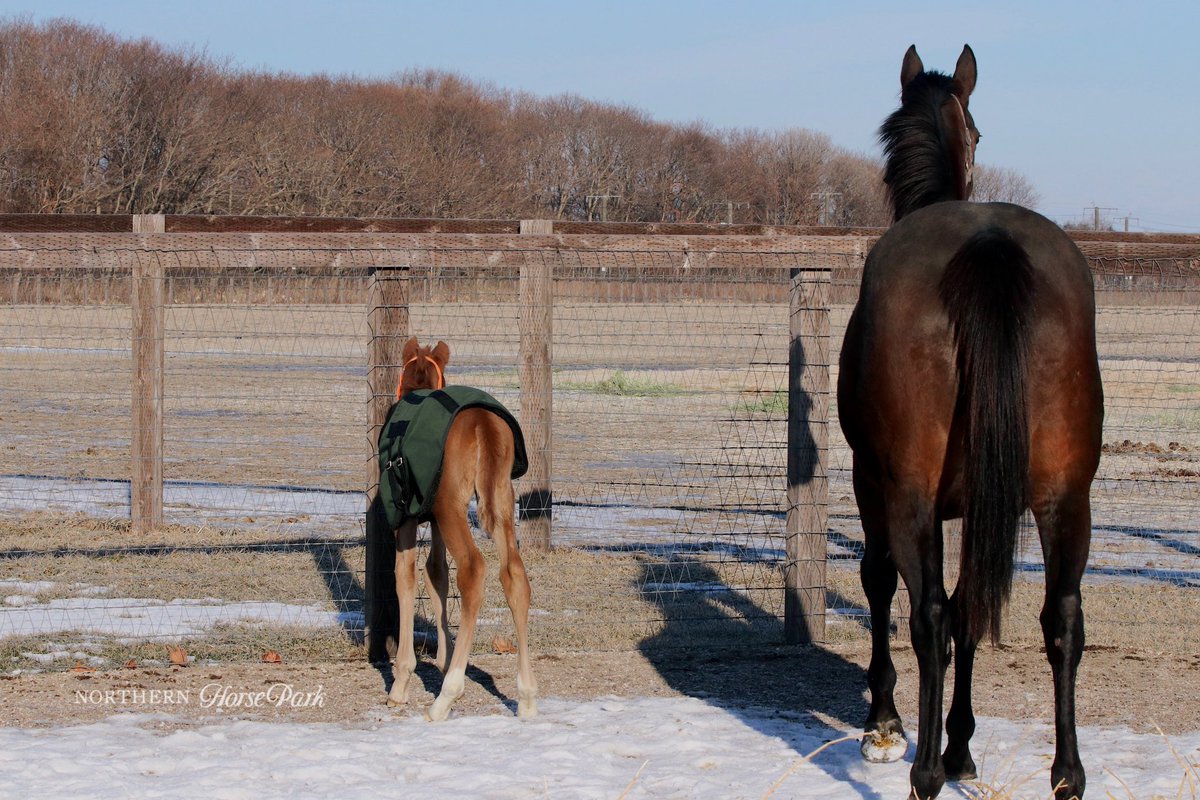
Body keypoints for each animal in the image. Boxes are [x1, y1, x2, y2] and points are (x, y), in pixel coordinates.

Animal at [383, 336, 538, 721]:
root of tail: (483, 421)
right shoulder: (434, 519)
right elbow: (435, 574)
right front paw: (445, 658)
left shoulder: (406, 517)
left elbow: (405, 575)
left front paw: (401, 682)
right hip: (500, 501)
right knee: (514, 575)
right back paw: (527, 697)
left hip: (452, 507)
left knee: (473, 570)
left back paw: (446, 696)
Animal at [837, 45, 1103, 799]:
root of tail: (987, 244)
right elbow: (972, 609)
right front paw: (962, 745)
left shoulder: (875, 484)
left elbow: (889, 585)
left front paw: (887, 725)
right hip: (1067, 497)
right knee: (1061, 618)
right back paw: (1066, 775)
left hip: (909, 495)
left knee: (926, 614)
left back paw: (924, 771)